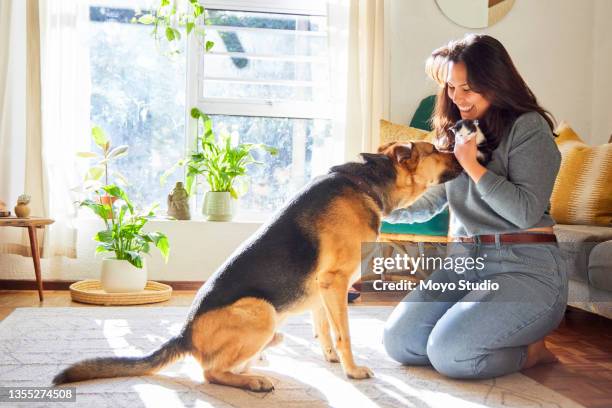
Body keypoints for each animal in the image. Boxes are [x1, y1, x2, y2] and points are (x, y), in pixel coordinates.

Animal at [53, 140, 464, 392]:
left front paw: (331, 360)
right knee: (211, 372)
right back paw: (253, 382)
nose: (464, 150)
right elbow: (344, 333)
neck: (367, 182)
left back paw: (259, 365)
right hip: (262, 311)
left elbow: (326, 330)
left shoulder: (322, 289)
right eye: (435, 148)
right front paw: (351, 370)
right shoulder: (334, 282)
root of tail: (184, 334)